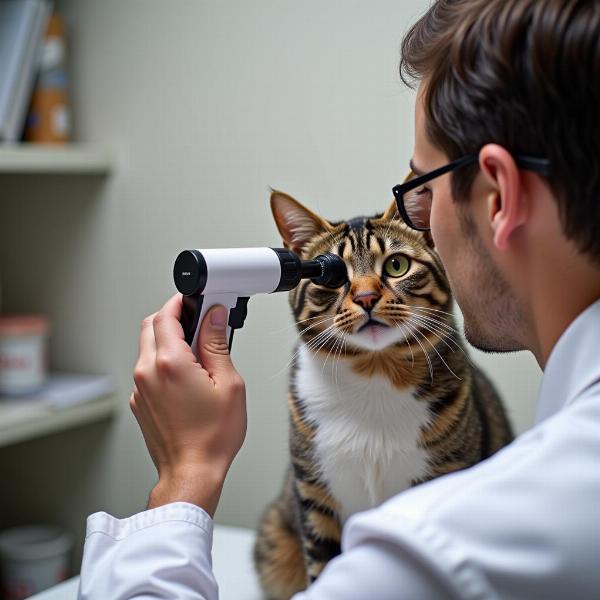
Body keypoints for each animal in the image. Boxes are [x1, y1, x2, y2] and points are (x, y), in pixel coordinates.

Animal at [255, 190, 512, 596]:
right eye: (332, 277)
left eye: (396, 265)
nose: (365, 297)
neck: (375, 372)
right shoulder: (315, 495)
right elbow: (323, 562)